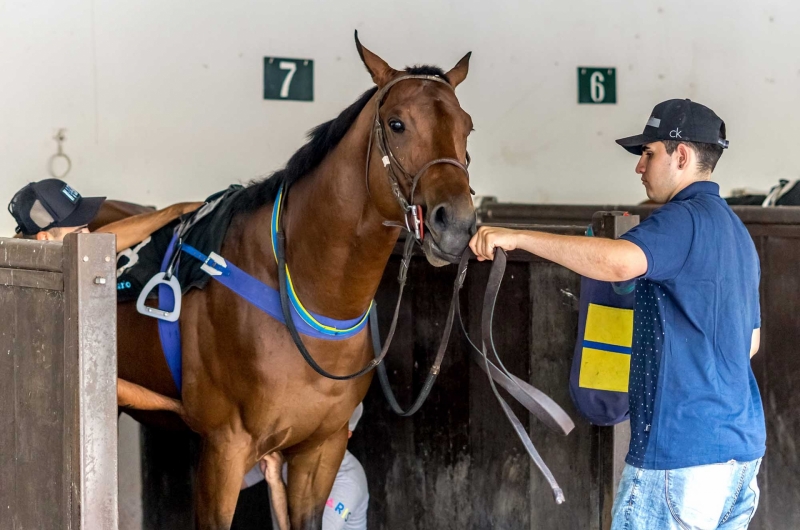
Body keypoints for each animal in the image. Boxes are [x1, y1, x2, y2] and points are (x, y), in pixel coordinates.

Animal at [117, 34, 476, 528]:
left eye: (468, 127)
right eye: (397, 123)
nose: (456, 224)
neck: (309, 297)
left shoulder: (320, 450)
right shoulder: (224, 450)